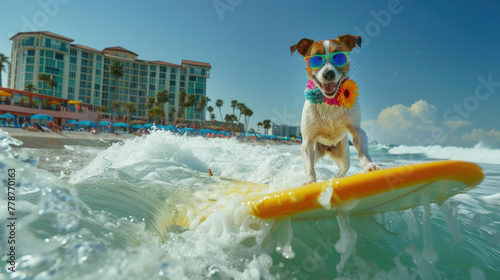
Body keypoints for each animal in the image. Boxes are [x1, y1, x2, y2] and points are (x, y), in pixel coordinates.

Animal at [290, 34, 378, 184]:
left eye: (338, 57)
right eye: (316, 58)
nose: (329, 74)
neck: (329, 101)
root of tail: (327, 148)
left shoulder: (357, 130)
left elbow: (363, 151)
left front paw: (369, 166)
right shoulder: (308, 141)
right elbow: (309, 168)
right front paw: (310, 181)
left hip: (343, 155)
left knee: (344, 168)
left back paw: (337, 177)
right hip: (316, 151)